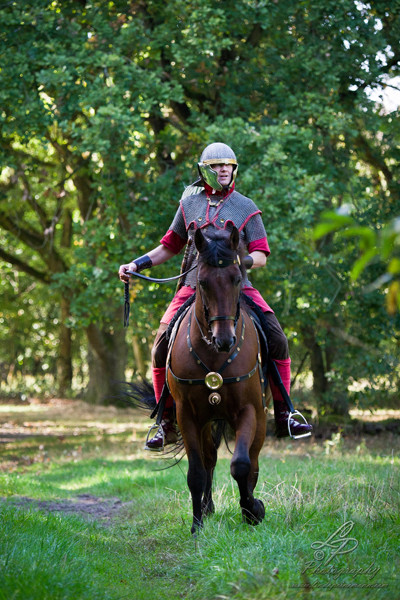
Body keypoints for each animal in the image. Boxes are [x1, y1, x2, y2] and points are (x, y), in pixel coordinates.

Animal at [166, 226, 266, 536]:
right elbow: (196, 472)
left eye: (236, 279)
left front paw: (252, 509)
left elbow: (241, 465)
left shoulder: (249, 410)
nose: (225, 340)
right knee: (209, 460)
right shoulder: (187, 415)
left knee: (253, 461)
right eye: (202, 282)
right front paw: (196, 525)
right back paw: (207, 508)